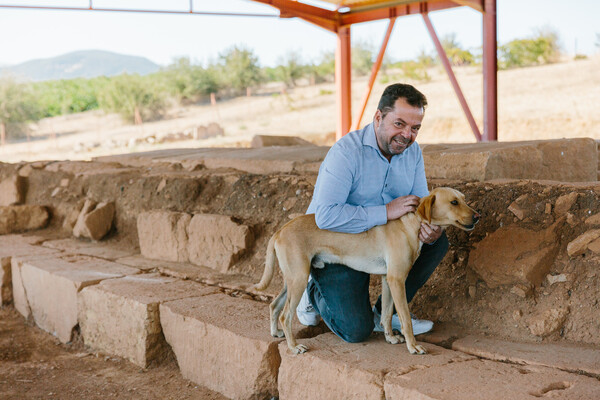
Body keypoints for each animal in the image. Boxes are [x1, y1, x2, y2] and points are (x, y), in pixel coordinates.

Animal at [251, 186, 480, 354]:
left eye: (464, 199)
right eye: (453, 202)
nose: (478, 216)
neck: (410, 224)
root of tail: (280, 230)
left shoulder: (388, 280)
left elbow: (386, 313)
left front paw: (390, 337)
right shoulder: (397, 279)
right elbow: (405, 318)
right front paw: (413, 346)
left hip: (292, 279)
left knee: (274, 305)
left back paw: (276, 333)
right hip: (299, 279)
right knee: (286, 315)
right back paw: (293, 346)